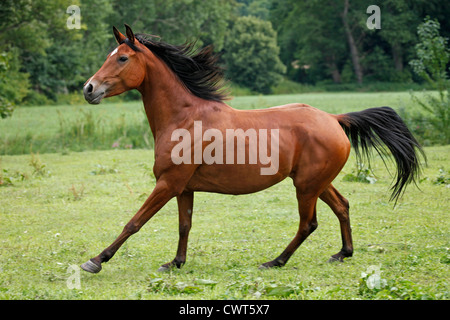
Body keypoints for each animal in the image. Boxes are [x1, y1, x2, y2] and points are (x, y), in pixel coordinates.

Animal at [79, 25, 424, 274]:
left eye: (122, 58)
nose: (89, 89)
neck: (184, 118)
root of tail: (334, 119)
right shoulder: (183, 188)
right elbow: (184, 226)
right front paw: (175, 263)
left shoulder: (168, 184)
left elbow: (134, 222)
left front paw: (96, 260)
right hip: (316, 182)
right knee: (342, 206)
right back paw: (342, 253)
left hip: (306, 186)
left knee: (308, 224)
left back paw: (275, 261)